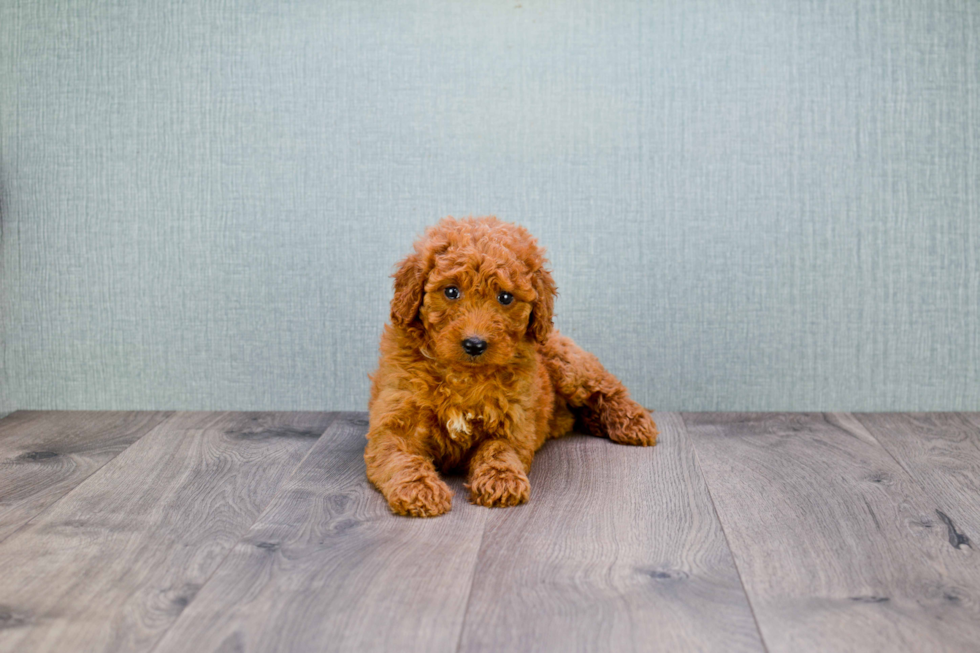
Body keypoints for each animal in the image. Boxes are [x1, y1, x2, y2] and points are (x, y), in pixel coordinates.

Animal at [368, 216, 660, 516]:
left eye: (505, 297)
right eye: (451, 291)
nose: (475, 344)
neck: (464, 374)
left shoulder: (512, 423)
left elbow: (498, 450)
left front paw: (501, 479)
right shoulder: (395, 422)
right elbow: (402, 457)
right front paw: (420, 489)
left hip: (566, 363)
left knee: (606, 387)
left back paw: (633, 422)